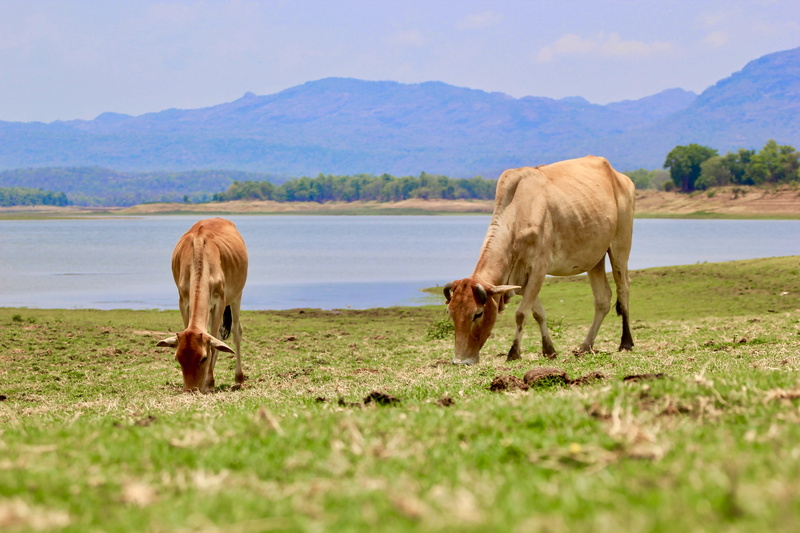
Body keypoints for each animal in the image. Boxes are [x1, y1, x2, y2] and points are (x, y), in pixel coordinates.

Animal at [157, 218, 248, 392]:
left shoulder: (220, 302)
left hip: (237, 296)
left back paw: (239, 378)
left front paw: (210, 382)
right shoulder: (183, 301)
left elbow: (213, 344)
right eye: (177, 358)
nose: (191, 389)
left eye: (203, 358)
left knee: (236, 331)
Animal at [443, 156, 635, 364]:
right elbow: (538, 313)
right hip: (594, 257)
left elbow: (521, 313)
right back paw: (585, 346)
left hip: (620, 245)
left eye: (477, 314)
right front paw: (549, 350)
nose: (461, 361)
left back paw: (626, 342)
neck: (518, 212)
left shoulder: (539, 269)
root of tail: (620, 177)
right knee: (602, 299)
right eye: (451, 313)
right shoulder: (520, 280)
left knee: (623, 288)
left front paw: (514, 352)